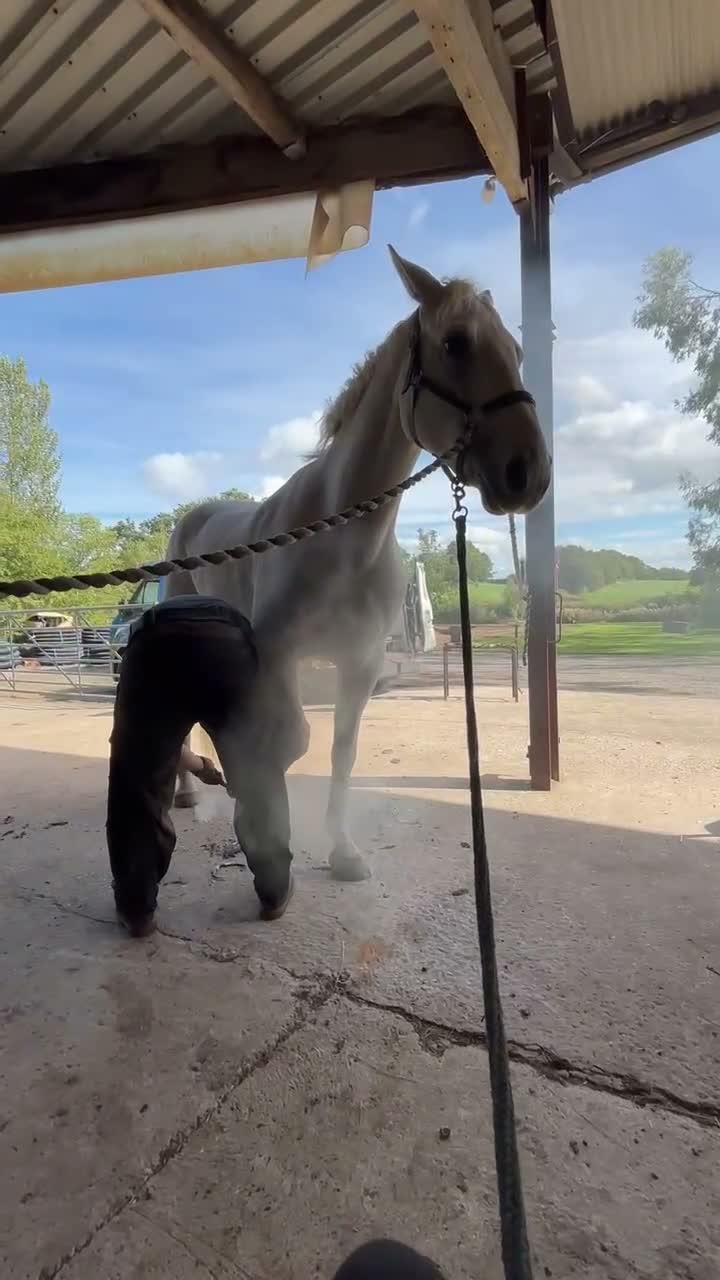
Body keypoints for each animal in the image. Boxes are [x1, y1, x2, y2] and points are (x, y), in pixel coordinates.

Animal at [164, 246, 551, 883]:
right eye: (456, 343)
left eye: (517, 351)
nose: (530, 474)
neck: (343, 541)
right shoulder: (279, 655)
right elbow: (290, 740)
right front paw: (264, 830)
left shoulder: (361, 662)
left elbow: (340, 751)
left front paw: (341, 849)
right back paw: (191, 783)